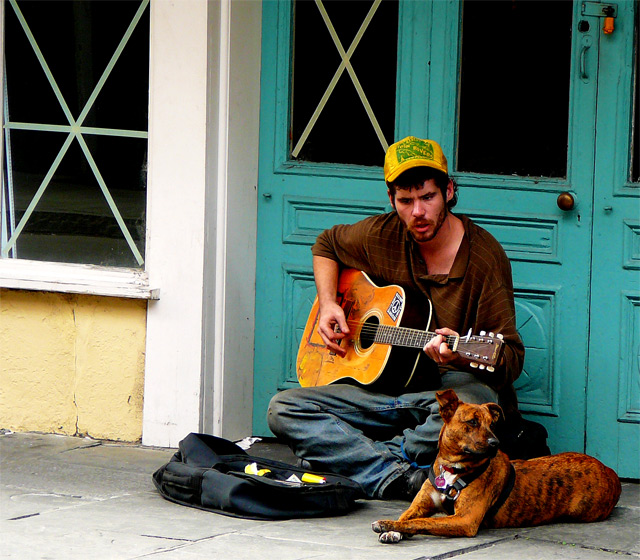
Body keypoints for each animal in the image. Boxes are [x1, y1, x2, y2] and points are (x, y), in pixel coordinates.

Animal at [372, 388, 624, 540]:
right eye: (472, 422)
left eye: (492, 424)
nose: (495, 443)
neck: (452, 469)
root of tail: (610, 471)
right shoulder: (419, 505)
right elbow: (407, 517)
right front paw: (393, 528)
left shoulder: (465, 520)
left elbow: (422, 522)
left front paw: (388, 525)